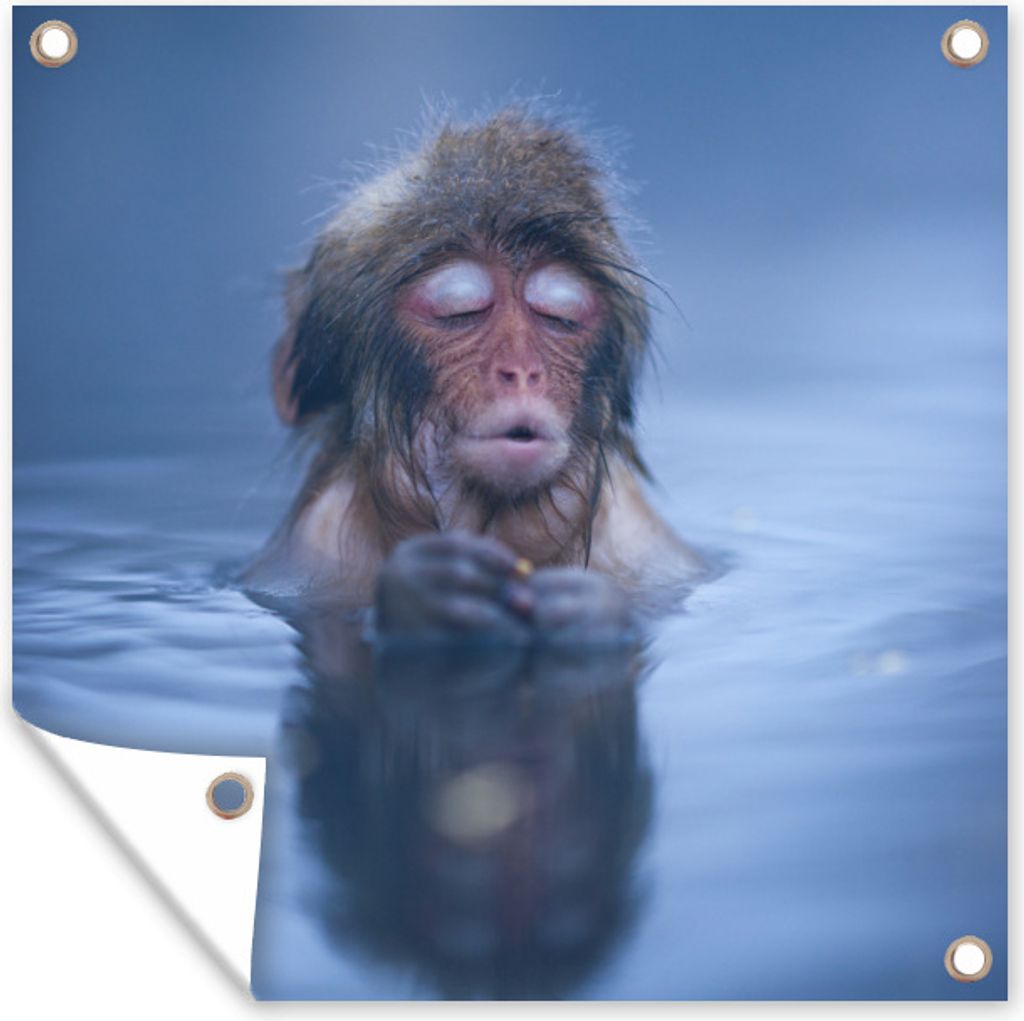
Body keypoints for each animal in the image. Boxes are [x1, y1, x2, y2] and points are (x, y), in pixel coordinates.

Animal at [244, 108, 703, 642]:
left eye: (560, 318)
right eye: (460, 313)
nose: (522, 371)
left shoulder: (644, 545)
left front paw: (589, 611)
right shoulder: (310, 551)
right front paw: (425, 592)